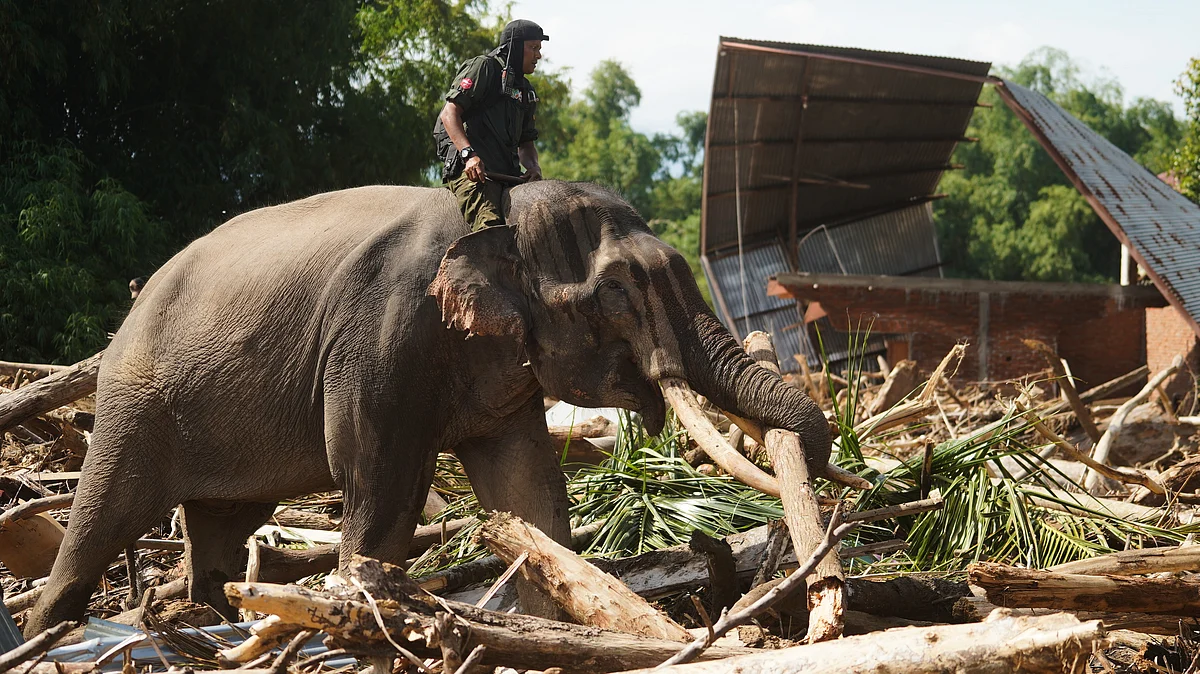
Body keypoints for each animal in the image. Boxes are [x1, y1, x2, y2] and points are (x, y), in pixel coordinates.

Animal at [24, 180, 830, 635]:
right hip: (135, 405)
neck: (494, 212)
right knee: (104, 517)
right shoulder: (379, 342)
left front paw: (556, 624)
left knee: (221, 528)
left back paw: (214, 622)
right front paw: (360, 610)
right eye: (614, 293)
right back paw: (51, 629)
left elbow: (529, 492)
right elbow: (380, 487)